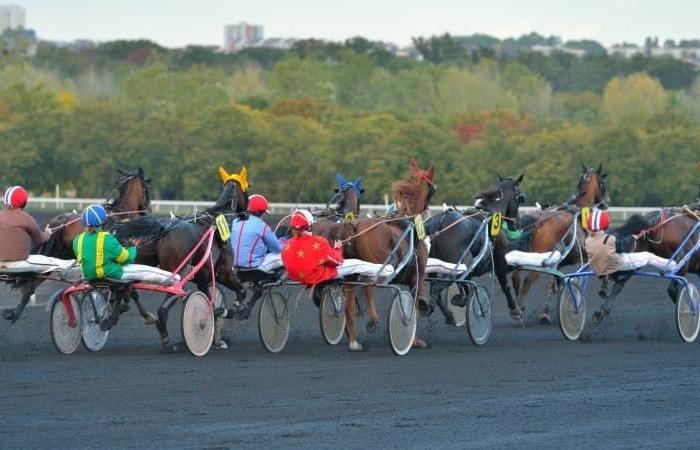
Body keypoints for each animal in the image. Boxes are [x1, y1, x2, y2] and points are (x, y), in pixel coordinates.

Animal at [2, 167, 151, 322]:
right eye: (147, 188)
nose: (147, 210)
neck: (121, 216)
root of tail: (61, 221)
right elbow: (130, 289)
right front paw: (144, 314)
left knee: (33, 283)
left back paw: (14, 313)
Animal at [342, 158, 434, 352]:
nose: (427, 210)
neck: (408, 221)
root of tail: (354, 226)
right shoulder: (418, 274)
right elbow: (414, 305)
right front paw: (414, 339)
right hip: (377, 268)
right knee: (368, 287)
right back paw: (373, 320)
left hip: (351, 275)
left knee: (349, 305)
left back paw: (354, 341)